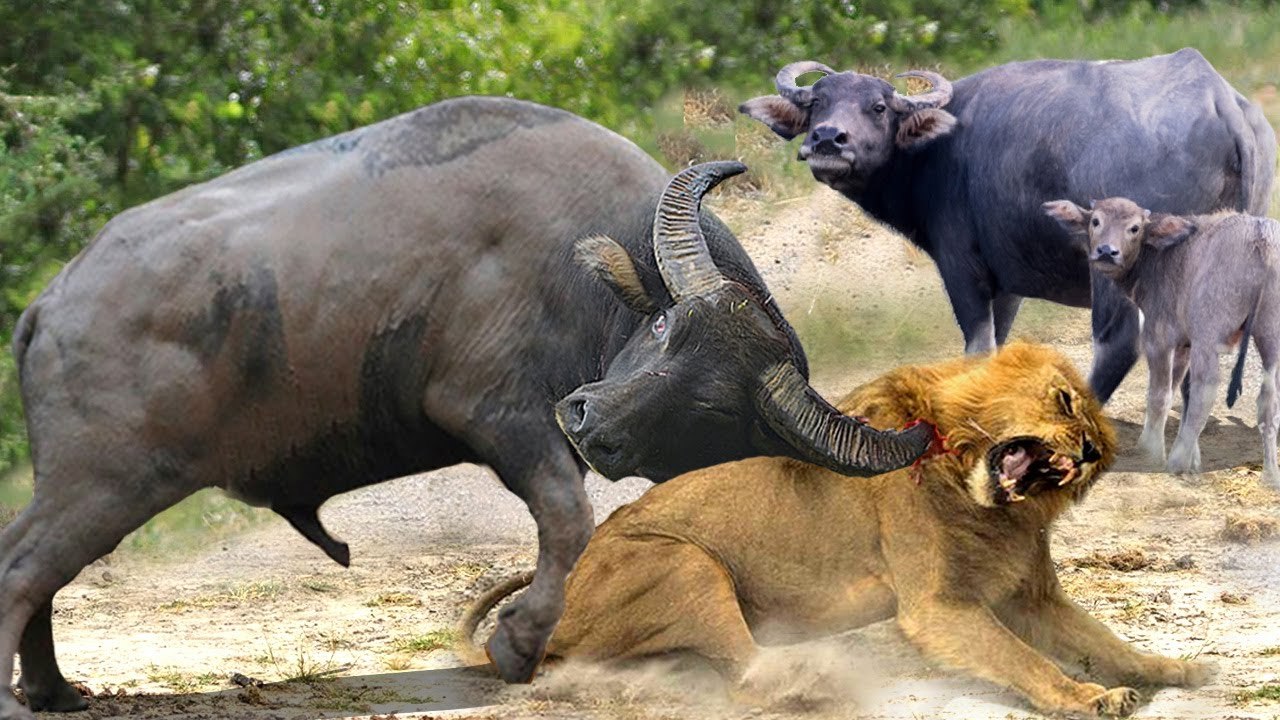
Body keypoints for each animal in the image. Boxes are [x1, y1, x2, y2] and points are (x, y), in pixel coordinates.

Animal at [0, 97, 933, 719]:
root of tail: (54, 301)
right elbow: (566, 519)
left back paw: (54, 690)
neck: (575, 275)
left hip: (85, 489)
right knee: (23, 568)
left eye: (711, 407)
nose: (590, 421)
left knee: (36, 571)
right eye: (665, 324)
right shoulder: (503, 416)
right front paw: (517, 642)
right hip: (106, 484)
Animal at [461, 343, 1211, 717]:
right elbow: (1024, 660)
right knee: (749, 676)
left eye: (1099, 447)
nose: (1084, 450)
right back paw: (812, 683)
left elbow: (1104, 639)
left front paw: (1171, 669)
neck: (984, 501)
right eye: (1062, 400)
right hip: (683, 560)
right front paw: (1090, 697)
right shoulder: (939, 608)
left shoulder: (1031, 597)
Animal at [740, 48, 1277, 403]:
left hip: (1110, 265)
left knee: (1120, 342)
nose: (828, 139)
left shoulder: (963, 266)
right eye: (817, 104)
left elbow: (978, 345)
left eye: (878, 107)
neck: (935, 151)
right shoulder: (1010, 282)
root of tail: (1222, 103)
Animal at [1045, 197, 1280, 485]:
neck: (1158, 258)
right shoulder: (1183, 345)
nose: (1106, 252)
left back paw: (1177, 461)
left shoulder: (1159, 338)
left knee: (1206, 388)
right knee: (1269, 399)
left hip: (1208, 334)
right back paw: (1271, 476)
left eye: (1134, 228)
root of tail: (1261, 234)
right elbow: (1177, 386)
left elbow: (1159, 394)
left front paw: (1151, 451)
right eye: (1096, 221)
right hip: (1271, 334)